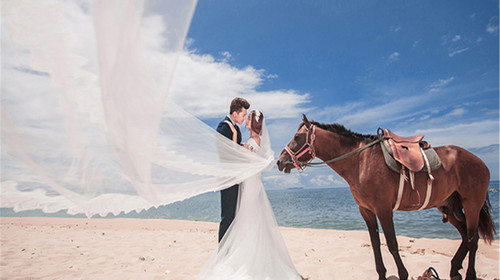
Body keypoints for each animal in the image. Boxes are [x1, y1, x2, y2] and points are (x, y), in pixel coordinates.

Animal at [278, 115, 496, 280]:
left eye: (297, 137)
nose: (280, 161)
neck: (361, 161)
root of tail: (479, 161)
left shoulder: (383, 210)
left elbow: (392, 244)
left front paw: (403, 274)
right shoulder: (366, 211)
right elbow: (375, 244)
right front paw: (382, 274)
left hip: (472, 205)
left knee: (473, 239)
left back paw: (469, 274)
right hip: (450, 208)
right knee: (466, 236)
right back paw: (454, 268)